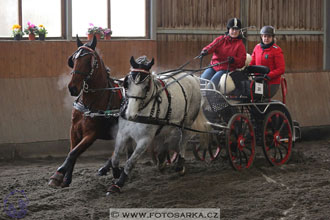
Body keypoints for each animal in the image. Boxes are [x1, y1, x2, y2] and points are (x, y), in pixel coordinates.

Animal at [47, 36, 122, 187]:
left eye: (89, 61)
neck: (89, 104)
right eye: (73, 59)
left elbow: (73, 153)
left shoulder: (91, 134)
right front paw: (66, 178)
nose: (72, 87)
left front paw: (58, 174)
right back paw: (108, 168)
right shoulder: (74, 130)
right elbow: (73, 151)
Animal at [106, 55, 209, 193]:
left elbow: (130, 162)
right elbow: (116, 157)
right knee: (166, 139)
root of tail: (192, 77)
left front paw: (119, 184)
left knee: (183, 140)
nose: (130, 115)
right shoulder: (122, 134)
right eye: (127, 83)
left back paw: (180, 164)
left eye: (146, 87)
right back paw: (162, 160)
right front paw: (116, 173)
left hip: (187, 121)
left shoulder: (145, 140)